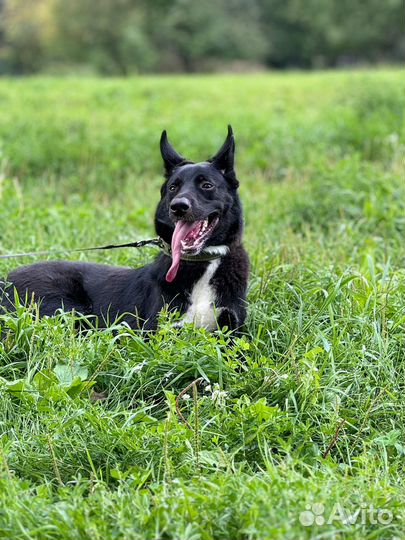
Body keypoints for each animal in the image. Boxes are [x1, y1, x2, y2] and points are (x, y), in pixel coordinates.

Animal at [0, 127, 248, 332]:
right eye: (173, 187)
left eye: (207, 185)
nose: (178, 206)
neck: (202, 263)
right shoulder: (157, 332)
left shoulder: (234, 330)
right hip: (65, 304)